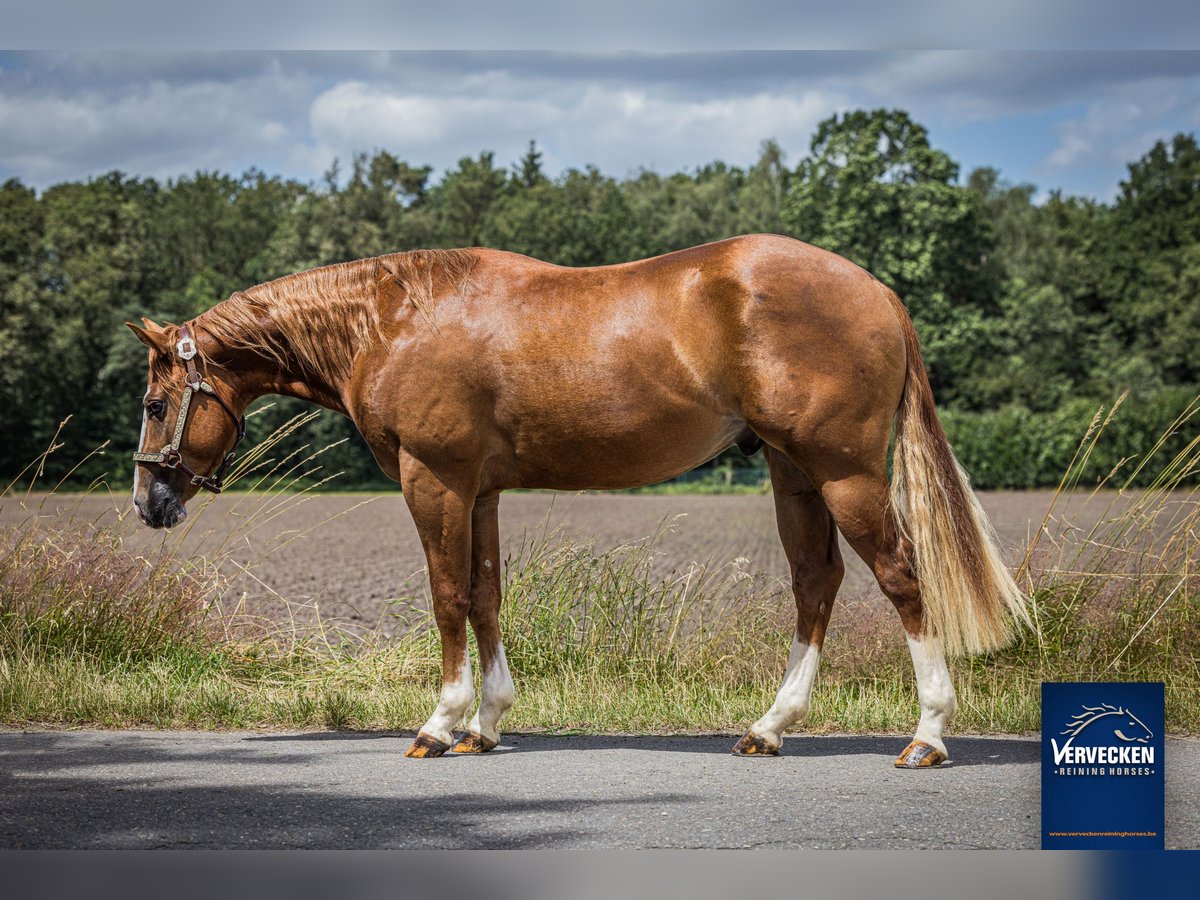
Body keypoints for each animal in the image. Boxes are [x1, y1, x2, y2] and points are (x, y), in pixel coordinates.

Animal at [131, 234, 1032, 768]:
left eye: (153, 401)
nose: (148, 501)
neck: (395, 320)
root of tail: (879, 293)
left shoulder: (436, 480)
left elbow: (447, 597)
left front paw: (441, 722)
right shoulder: (481, 492)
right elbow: (487, 596)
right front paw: (486, 724)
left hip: (843, 471)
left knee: (901, 577)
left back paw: (927, 735)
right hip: (792, 470)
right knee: (817, 584)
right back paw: (769, 727)